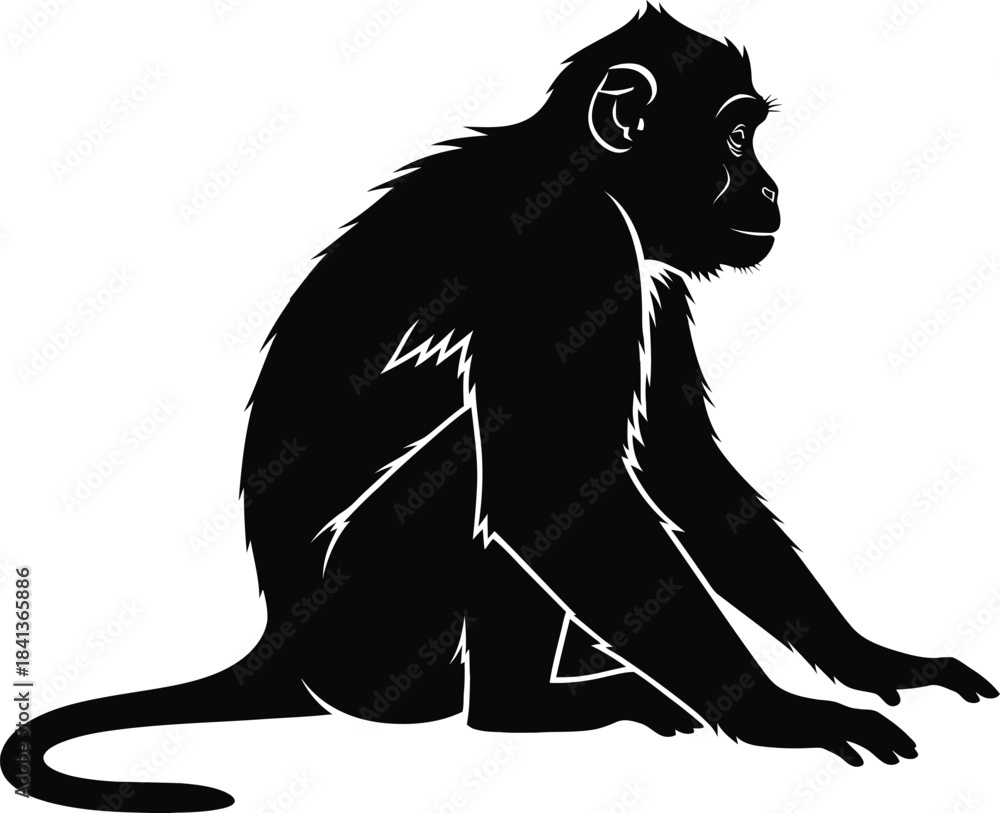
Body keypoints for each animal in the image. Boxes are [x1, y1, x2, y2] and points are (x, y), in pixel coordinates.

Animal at [4, 5, 996, 811]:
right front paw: (779, 714)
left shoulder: (646, 272)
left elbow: (679, 468)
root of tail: (277, 640)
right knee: (479, 468)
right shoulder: (569, 248)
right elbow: (557, 483)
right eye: (734, 138)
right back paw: (527, 712)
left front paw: (870, 658)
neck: (589, 173)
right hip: (369, 631)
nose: (769, 188)